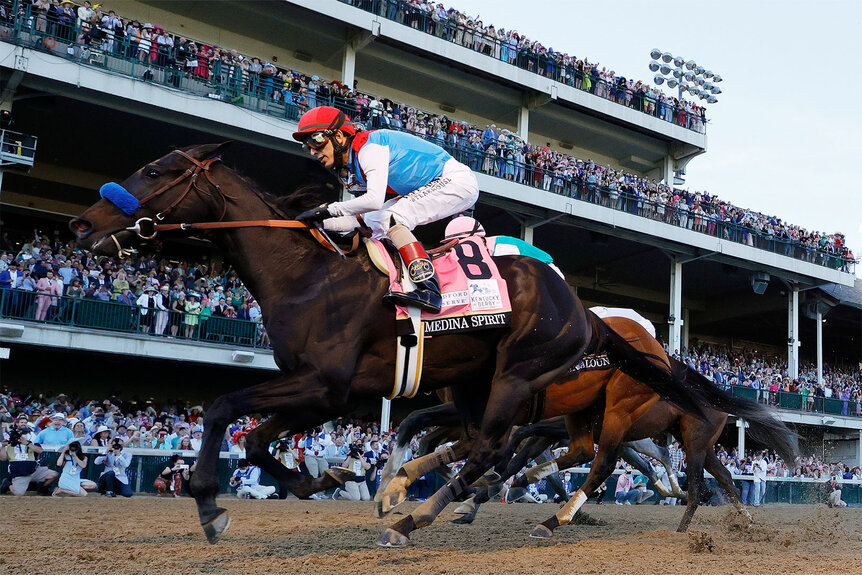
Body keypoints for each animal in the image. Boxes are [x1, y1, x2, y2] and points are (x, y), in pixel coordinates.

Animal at [72, 146, 724, 548]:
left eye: (154, 170)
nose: (82, 225)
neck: (307, 277)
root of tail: (586, 312)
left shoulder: (327, 384)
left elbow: (220, 408)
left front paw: (210, 505)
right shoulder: (322, 390)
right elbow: (255, 439)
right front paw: (323, 480)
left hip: (530, 380)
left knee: (514, 450)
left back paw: (422, 517)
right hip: (487, 385)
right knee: (508, 447)